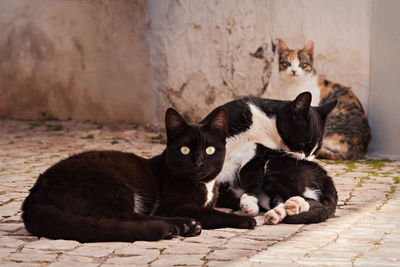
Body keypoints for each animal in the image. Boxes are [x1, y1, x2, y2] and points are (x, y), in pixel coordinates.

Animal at [21, 108, 256, 244]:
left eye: (209, 150)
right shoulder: (171, 205)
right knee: (123, 218)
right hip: (113, 185)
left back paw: (184, 227)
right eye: (184, 150)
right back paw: (180, 226)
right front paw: (245, 220)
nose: (198, 163)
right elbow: (211, 213)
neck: (204, 185)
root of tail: (36, 191)